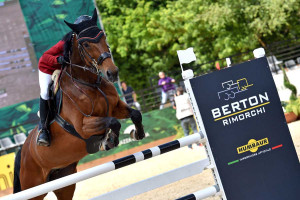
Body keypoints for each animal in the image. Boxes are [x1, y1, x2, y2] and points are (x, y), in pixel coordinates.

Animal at [13, 9, 145, 200]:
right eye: (86, 44)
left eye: (104, 37)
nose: (112, 73)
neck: (89, 83)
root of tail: (22, 152)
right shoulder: (83, 126)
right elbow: (113, 122)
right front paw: (109, 141)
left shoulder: (115, 108)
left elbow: (135, 114)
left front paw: (137, 133)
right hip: (33, 187)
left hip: (64, 180)